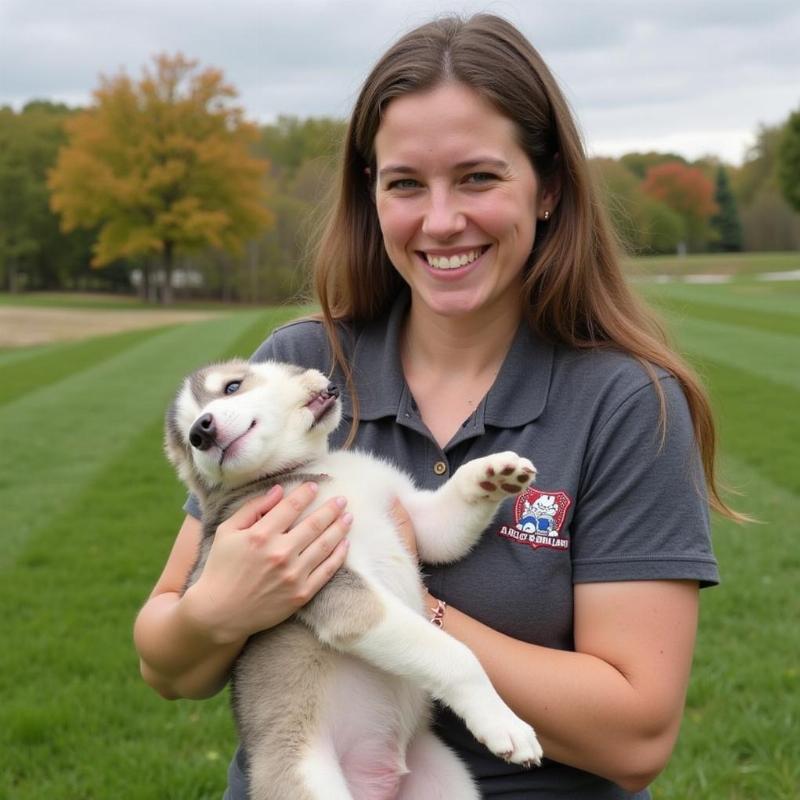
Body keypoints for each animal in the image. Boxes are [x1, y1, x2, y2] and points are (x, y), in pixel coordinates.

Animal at [167, 360, 544, 800]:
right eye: (189, 439)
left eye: (231, 387)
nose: (202, 430)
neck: (309, 469)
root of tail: (376, 782)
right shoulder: (336, 587)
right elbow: (455, 655)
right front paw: (503, 723)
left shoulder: (419, 520)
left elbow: (446, 522)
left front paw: (490, 475)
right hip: (307, 777)